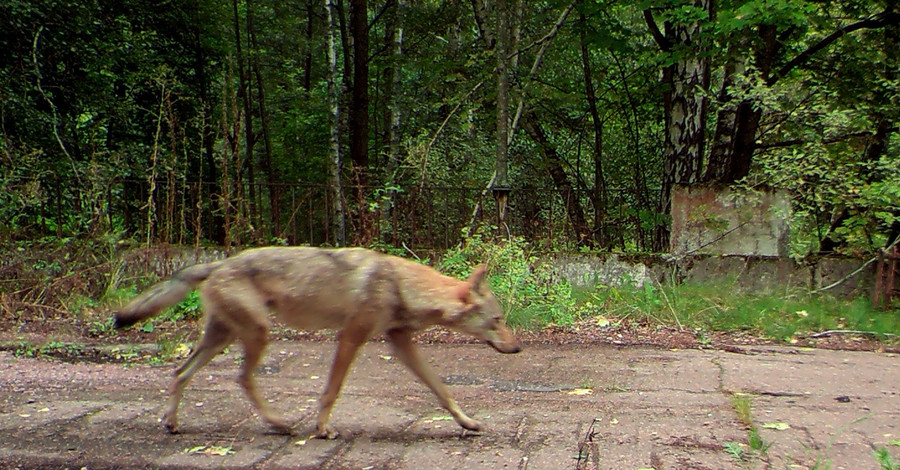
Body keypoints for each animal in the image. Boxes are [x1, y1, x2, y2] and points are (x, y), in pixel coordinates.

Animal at [114, 246, 520, 436]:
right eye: (498, 321)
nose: (517, 348)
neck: (400, 285)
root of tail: (218, 263)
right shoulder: (351, 337)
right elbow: (331, 390)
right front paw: (323, 429)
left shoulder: (400, 343)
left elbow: (442, 390)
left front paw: (467, 423)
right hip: (257, 335)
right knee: (241, 378)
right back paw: (279, 423)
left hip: (222, 338)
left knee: (179, 374)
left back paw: (172, 422)